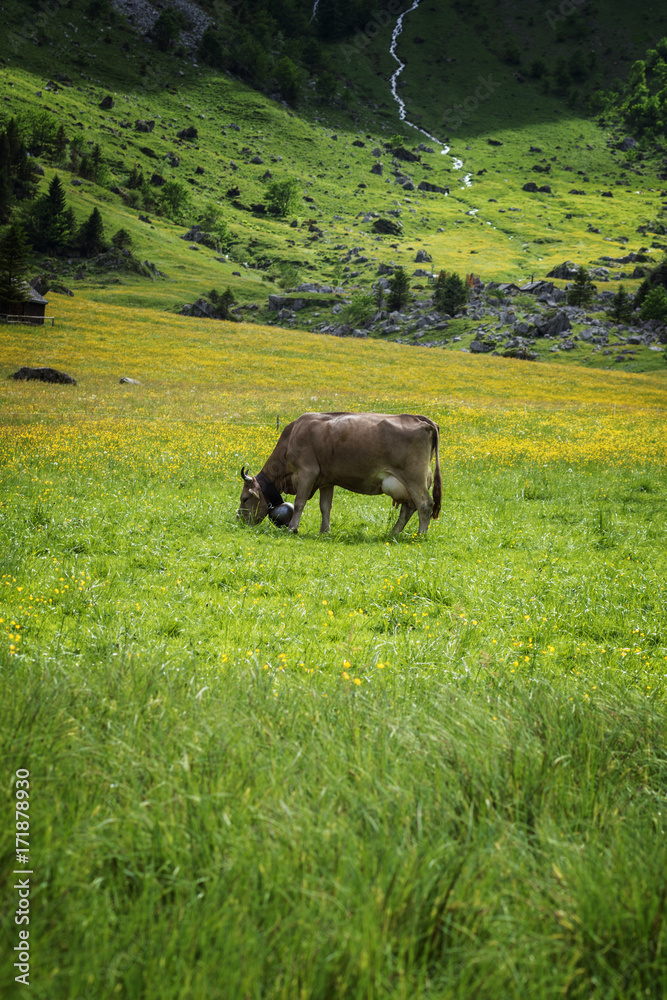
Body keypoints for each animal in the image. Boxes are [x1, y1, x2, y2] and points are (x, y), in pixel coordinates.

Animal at [237, 410, 440, 536]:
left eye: (244, 498)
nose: (239, 520)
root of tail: (420, 418)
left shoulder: (307, 472)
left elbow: (300, 502)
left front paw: (293, 528)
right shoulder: (326, 480)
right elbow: (325, 506)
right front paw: (324, 531)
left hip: (414, 478)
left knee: (425, 504)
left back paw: (420, 535)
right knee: (409, 507)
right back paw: (393, 533)